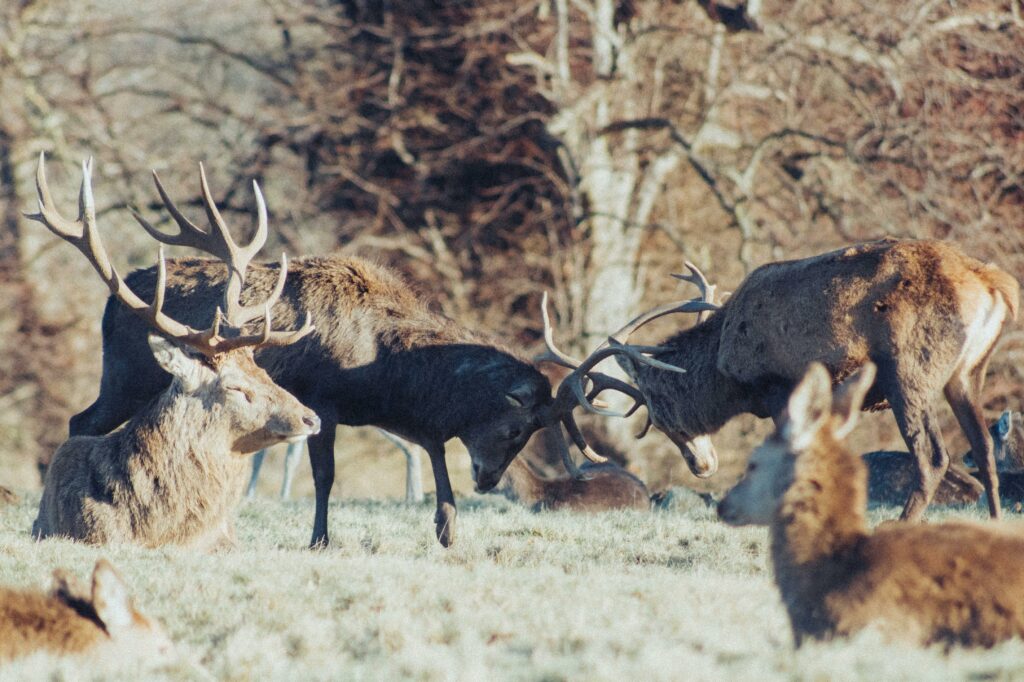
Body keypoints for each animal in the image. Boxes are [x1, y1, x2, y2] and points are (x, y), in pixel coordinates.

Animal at [575, 239, 1019, 522]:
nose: (700, 466)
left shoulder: (778, 386)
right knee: (983, 447)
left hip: (910, 370)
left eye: (657, 414)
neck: (726, 366)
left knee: (934, 456)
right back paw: (995, 525)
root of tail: (995, 287)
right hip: (967, 373)